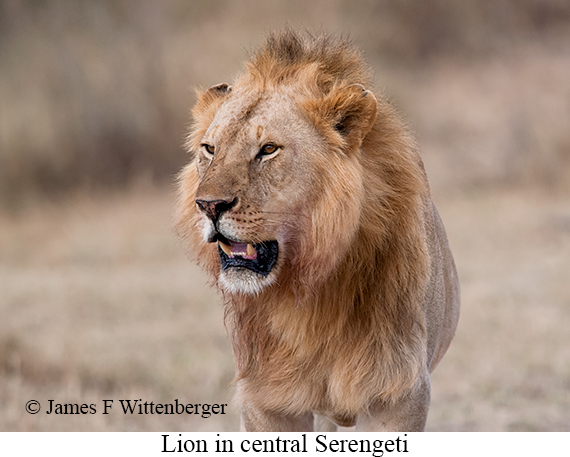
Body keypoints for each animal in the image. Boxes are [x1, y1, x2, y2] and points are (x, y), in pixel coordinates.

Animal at [175, 29, 460, 432]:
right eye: (209, 149)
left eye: (268, 149)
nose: (208, 206)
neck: (311, 290)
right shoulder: (266, 397)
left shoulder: (399, 391)